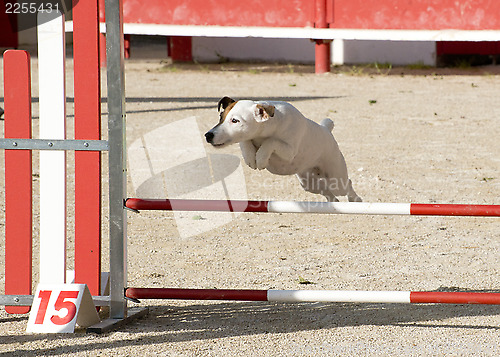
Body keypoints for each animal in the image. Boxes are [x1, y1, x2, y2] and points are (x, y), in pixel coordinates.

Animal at [205, 97, 362, 202]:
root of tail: (326, 129)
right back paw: (332, 202)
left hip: (336, 179)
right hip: (308, 183)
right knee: (327, 191)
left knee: (347, 185)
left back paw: (355, 200)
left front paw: (260, 158)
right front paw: (250, 157)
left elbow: (270, 142)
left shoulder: (289, 151)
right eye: (221, 117)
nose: (208, 135)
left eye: (235, 120)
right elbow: (246, 141)